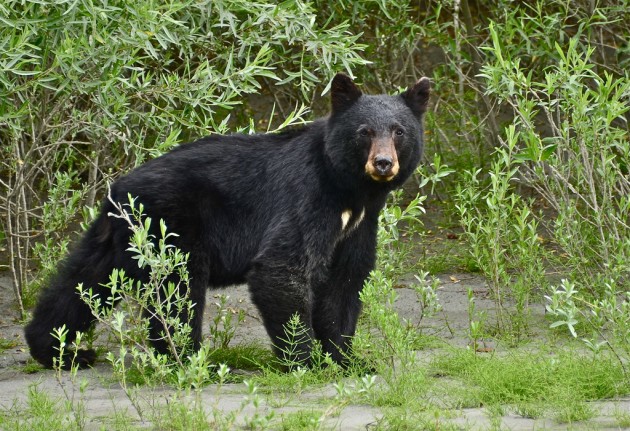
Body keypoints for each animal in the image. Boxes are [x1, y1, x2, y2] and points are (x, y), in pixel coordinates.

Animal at [23, 72, 430, 370]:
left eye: (399, 131)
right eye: (364, 132)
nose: (383, 163)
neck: (349, 189)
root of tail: (119, 189)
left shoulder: (359, 225)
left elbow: (345, 282)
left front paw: (347, 360)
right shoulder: (308, 199)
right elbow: (280, 267)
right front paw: (304, 360)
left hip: (118, 235)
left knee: (84, 280)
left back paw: (59, 350)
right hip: (172, 227)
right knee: (178, 290)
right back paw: (184, 357)